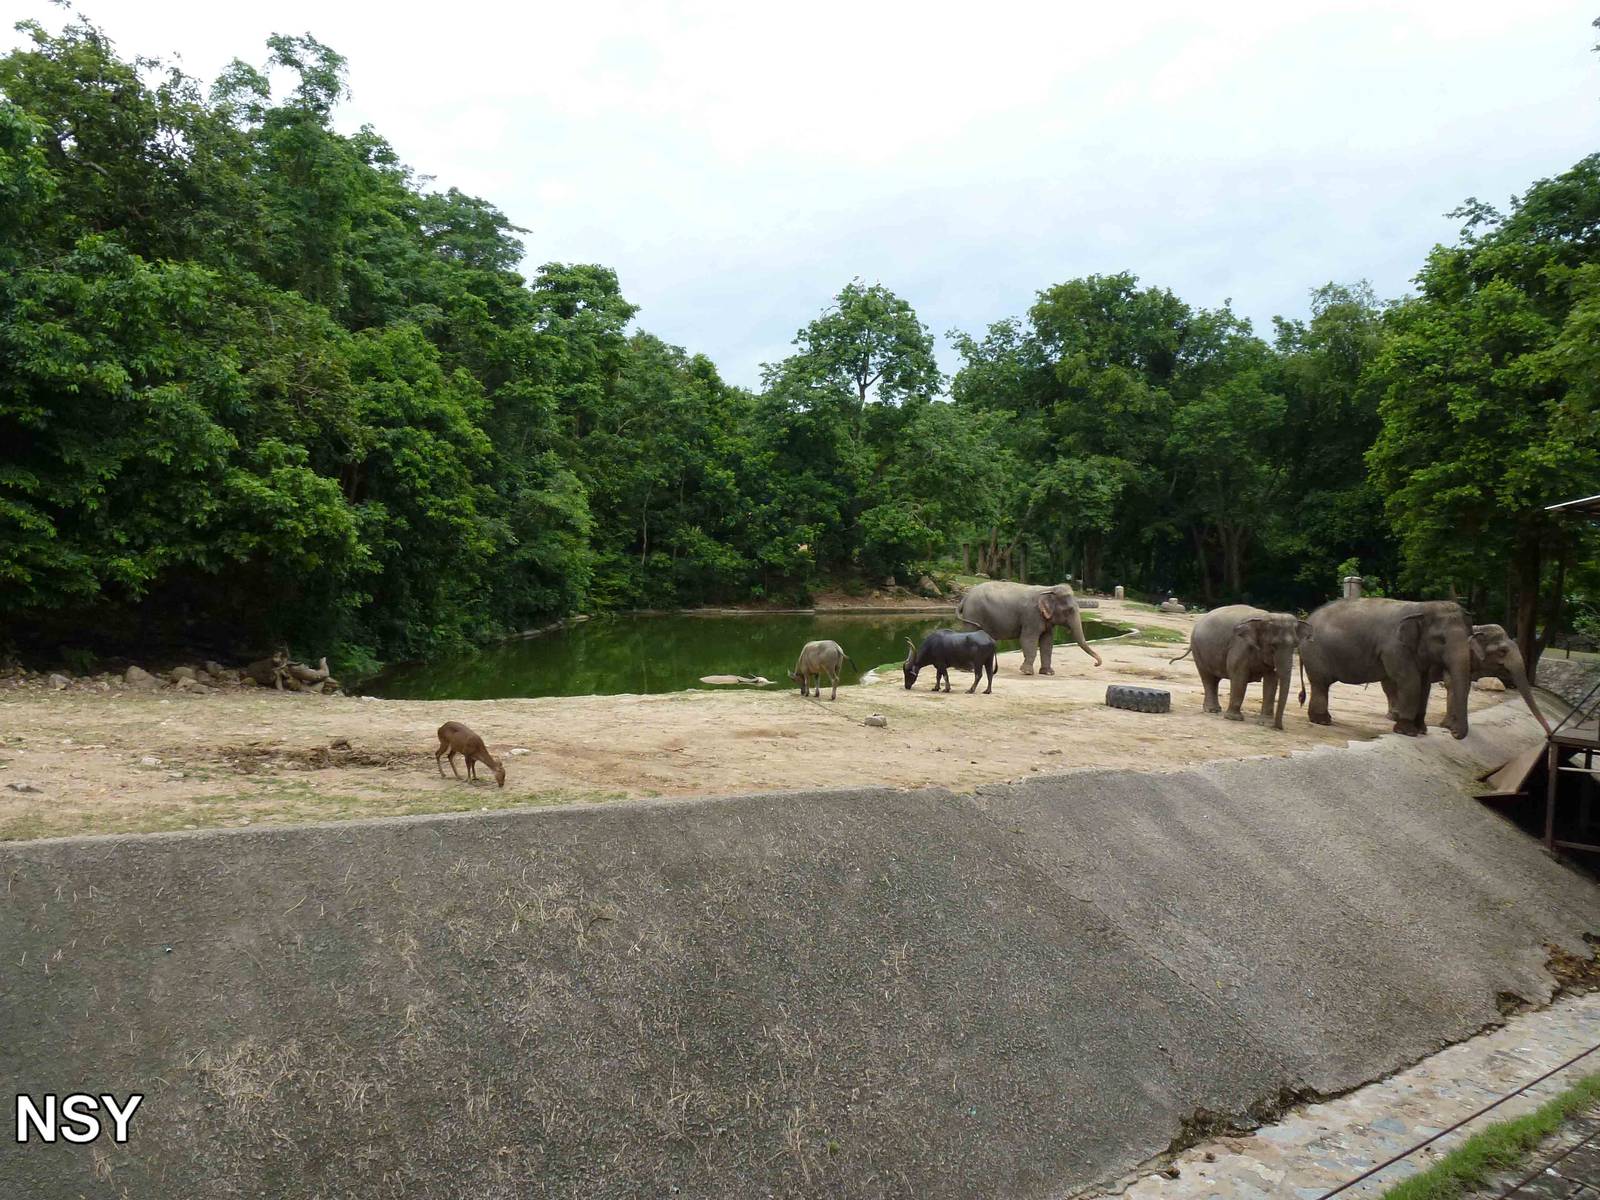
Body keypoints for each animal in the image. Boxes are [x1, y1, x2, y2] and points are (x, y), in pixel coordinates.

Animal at [955, 581, 1103, 675]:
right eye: (1070, 610)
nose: (1096, 664)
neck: (1048, 589)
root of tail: (965, 598)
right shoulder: (1031, 616)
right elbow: (1028, 640)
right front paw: (1027, 672)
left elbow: (1047, 642)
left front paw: (1048, 673)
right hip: (973, 615)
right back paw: (968, 669)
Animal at [1174, 605, 1310, 730]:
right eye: (1273, 645)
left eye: (1295, 645)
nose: (1278, 727)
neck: (1264, 617)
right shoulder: (1240, 646)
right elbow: (1239, 676)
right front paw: (1234, 718)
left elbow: (1271, 681)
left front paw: (1265, 723)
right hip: (1198, 650)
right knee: (1208, 678)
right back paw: (1212, 710)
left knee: (1214, 680)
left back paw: (1216, 709)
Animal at [1298, 598, 1473, 739]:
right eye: (1441, 640)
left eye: (1469, 636)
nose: (1454, 733)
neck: (1421, 607)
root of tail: (1308, 618)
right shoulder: (1394, 647)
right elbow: (1410, 681)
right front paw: (1407, 732)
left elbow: (1424, 685)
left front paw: (1422, 730)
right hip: (1314, 651)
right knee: (1320, 683)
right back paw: (1322, 721)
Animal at [1380, 623, 1553, 736]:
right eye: (1502, 651)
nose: (1548, 735)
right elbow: (1452, 684)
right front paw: (1449, 727)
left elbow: (1464, 685)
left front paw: (1450, 726)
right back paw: (1394, 716)